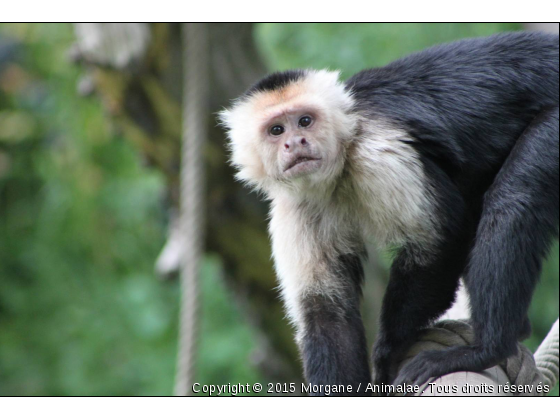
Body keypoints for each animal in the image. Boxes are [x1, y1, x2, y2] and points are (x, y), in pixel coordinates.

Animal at [219, 32, 560, 394]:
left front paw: (388, 353)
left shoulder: (377, 151)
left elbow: (441, 241)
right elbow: (326, 314)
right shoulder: (296, 205)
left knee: (514, 197)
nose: (295, 142)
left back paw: (488, 349)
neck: (339, 167)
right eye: (276, 130)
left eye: (305, 121)